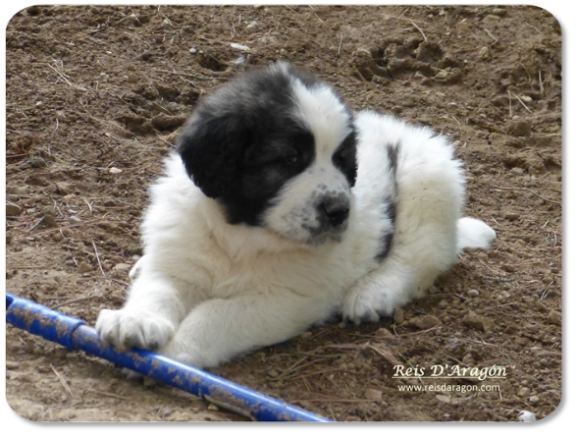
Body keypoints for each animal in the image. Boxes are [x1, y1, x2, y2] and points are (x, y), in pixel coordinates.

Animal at [97, 62, 492, 368]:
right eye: (290, 159)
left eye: (342, 161)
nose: (339, 211)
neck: (242, 235)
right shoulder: (179, 257)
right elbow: (158, 289)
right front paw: (136, 321)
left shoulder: (288, 298)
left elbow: (216, 316)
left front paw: (174, 353)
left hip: (426, 176)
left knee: (421, 255)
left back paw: (373, 293)